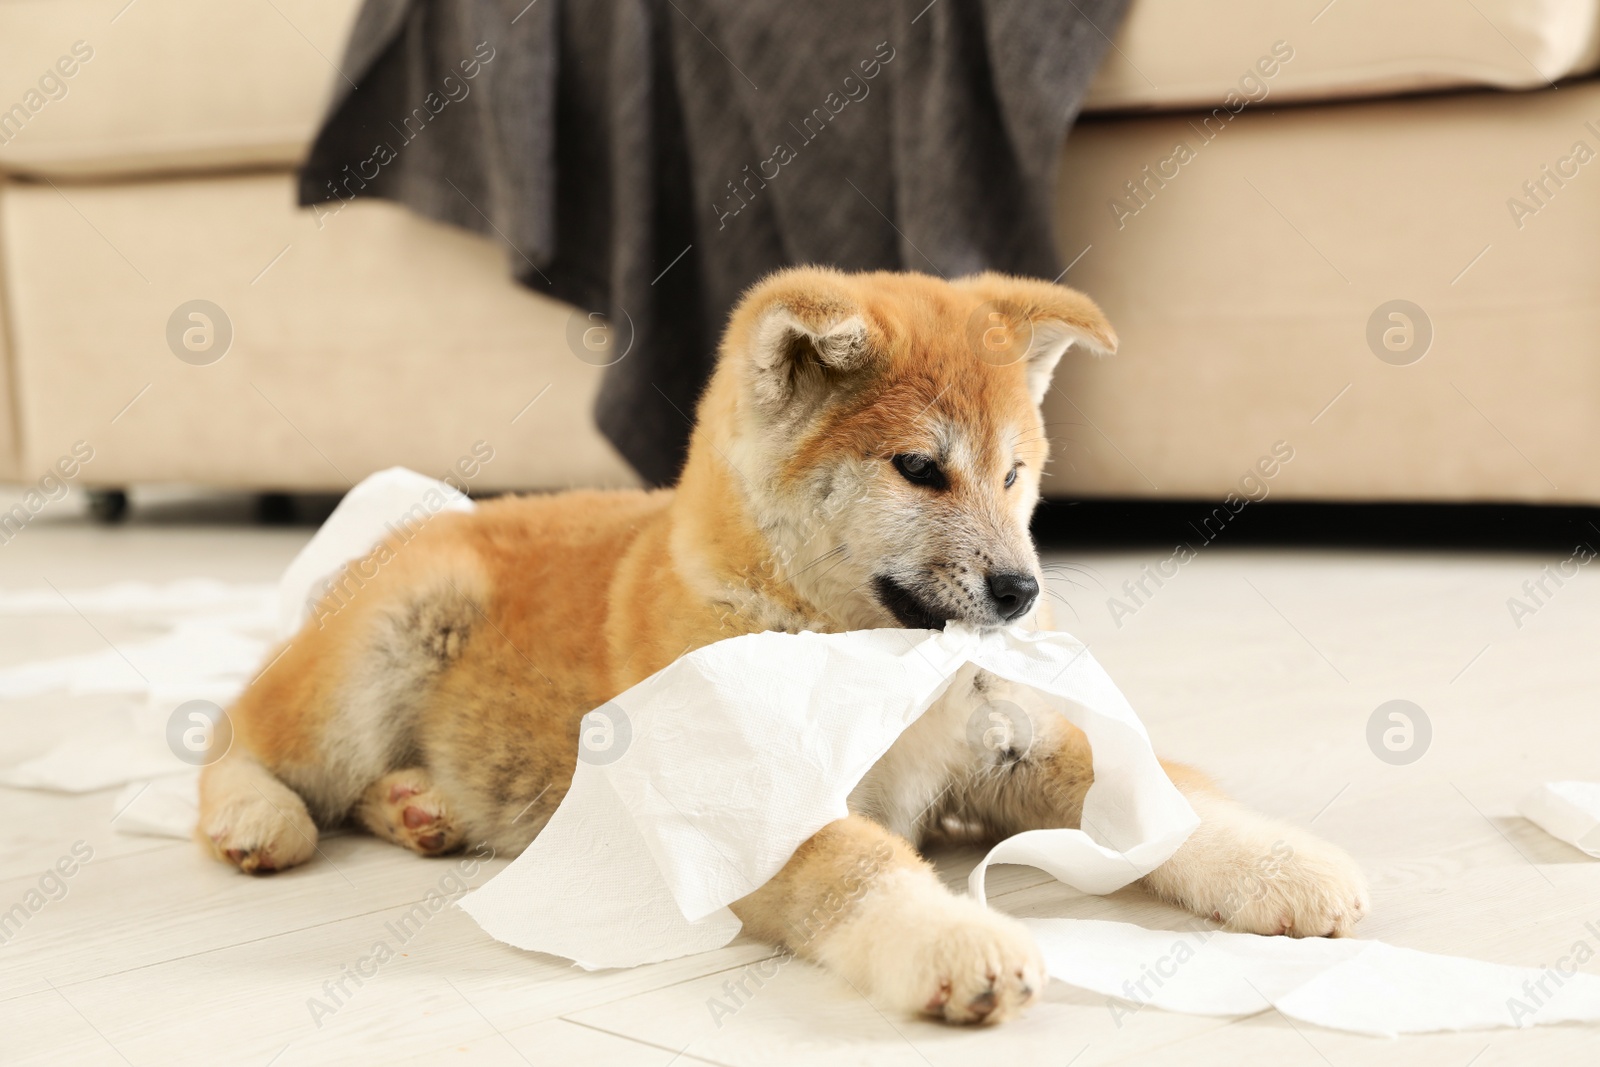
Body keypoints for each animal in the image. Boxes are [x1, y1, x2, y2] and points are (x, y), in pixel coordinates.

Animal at [200, 267, 1369, 1023]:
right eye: (919, 468)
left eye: (1016, 473)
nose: (1021, 591)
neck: (871, 652)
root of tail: (424, 524)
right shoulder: (755, 812)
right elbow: (866, 868)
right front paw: (953, 939)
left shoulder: (1011, 748)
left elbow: (1169, 798)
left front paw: (1282, 865)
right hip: (379, 651)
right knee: (236, 736)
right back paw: (262, 815)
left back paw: (420, 805)